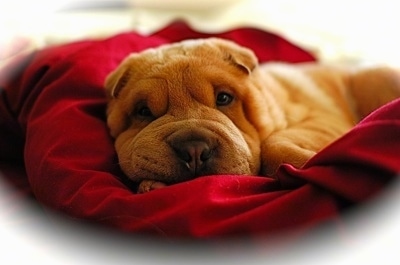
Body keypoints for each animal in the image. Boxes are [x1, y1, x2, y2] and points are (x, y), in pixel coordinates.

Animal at [104, 37, 400, 192]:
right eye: (144, 112)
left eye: (224, 98)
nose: (194, 148)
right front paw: (151, 186)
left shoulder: (318, 119)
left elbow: (274, 145)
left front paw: (309, 163)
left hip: (376, 79)